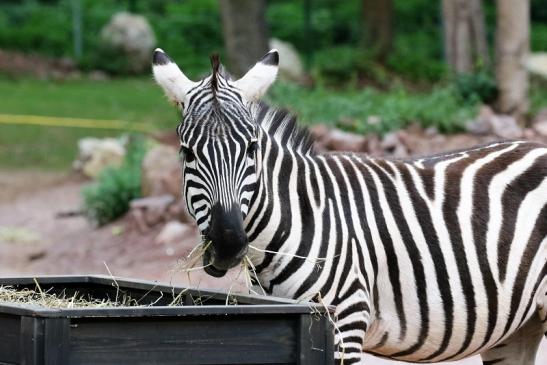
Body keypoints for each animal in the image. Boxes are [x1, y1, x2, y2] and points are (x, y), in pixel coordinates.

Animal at [152, 49, 547, 364]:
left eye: (252, 149)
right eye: (187, 153)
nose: (228, 245)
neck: (297, 219)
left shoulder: (345, 323)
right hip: (519, 326)